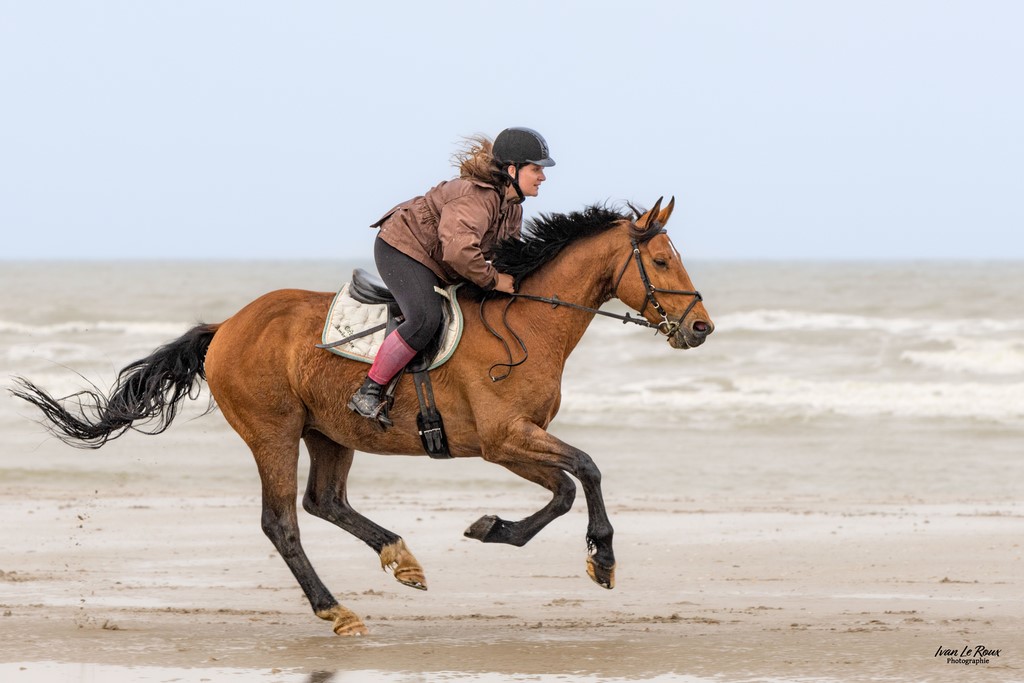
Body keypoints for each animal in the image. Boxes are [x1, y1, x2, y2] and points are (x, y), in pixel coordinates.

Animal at [9, 196, 712, 634]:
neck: (529, 323)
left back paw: (401, 559)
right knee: (283, 522)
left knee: (324, 501)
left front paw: (504, 531)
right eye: (660, 260)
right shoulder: (503, 440)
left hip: (329, 431)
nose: (701, 327)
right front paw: (596, 556)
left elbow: (568, 485)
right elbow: (582, 473)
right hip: (274, 432)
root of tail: (226, 326)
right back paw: (336, 610)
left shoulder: (516, 441)